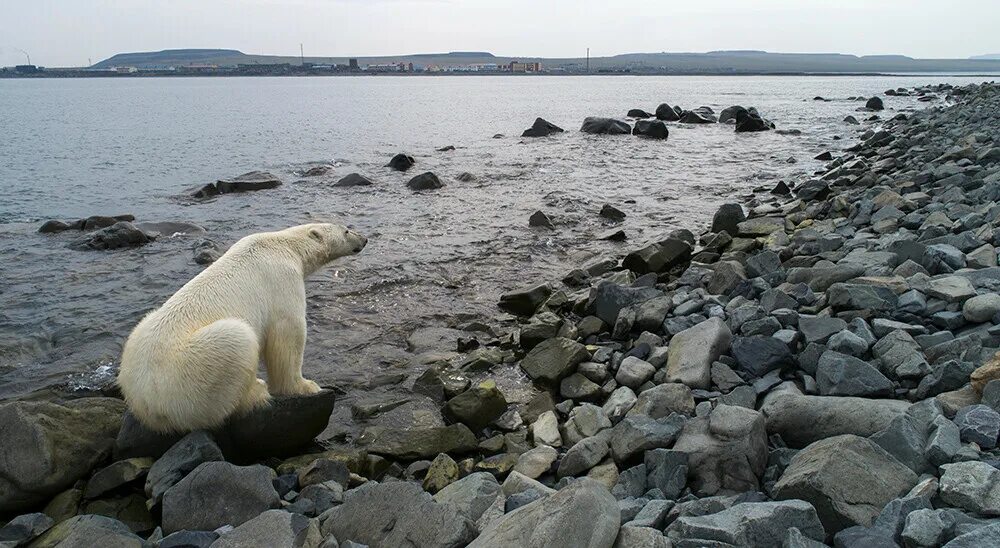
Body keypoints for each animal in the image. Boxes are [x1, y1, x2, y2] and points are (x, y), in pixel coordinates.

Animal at [117, 223, 368, 432]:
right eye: (346, 230)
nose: (364, 239)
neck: (284, 245)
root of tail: (142, 399)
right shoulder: (283, 280)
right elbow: (288, 333)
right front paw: (306, 386)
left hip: (140, 336)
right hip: (187, 374)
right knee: (237, 342)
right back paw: (256, 391)